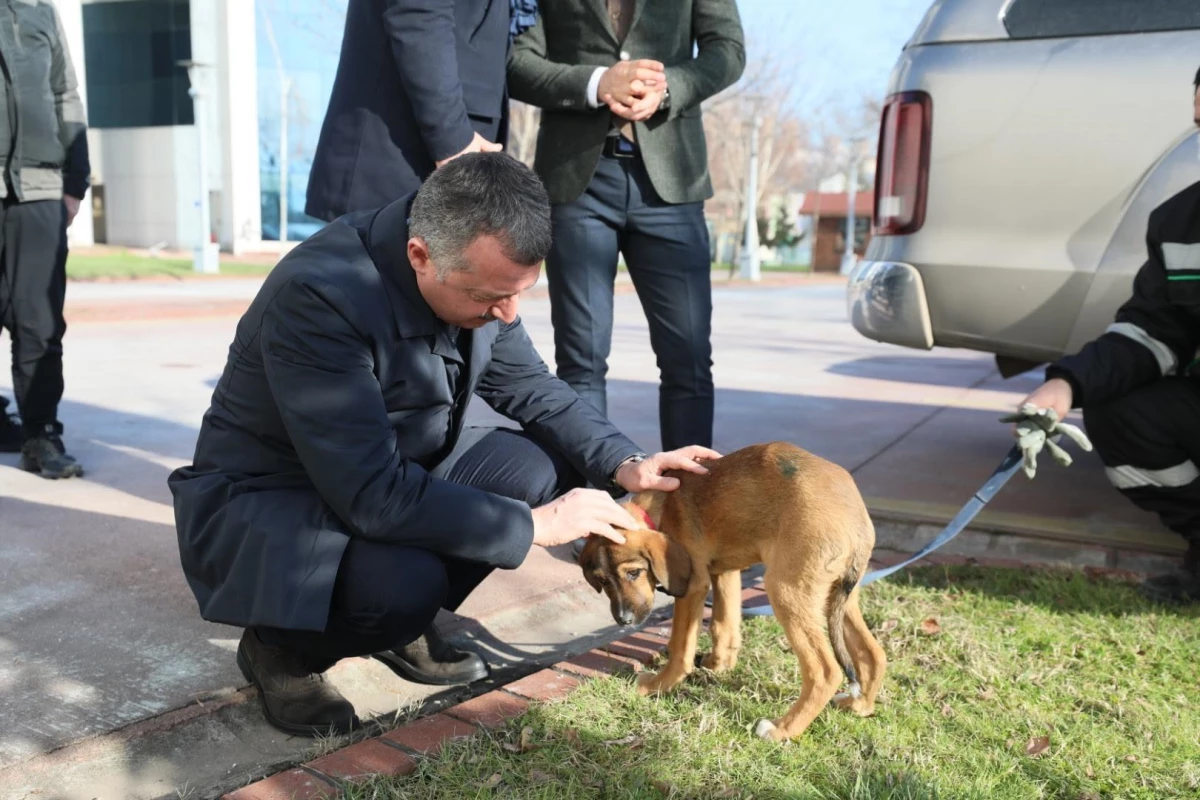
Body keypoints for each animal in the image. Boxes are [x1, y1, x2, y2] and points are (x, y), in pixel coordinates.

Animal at [576, 441, 888, 743]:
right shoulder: (724, 572)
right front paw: (719, 664)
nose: (624, 620)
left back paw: (782, 729)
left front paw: (659, 685)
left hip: (786, 591)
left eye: (634, 573)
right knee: (873, 653)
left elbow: (680, 647)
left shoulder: (693, 585)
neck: (661, 507)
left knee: (825, 671)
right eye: (603, 582)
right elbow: (722, 625)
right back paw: (859, 706)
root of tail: (856, 518)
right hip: (838, 595)